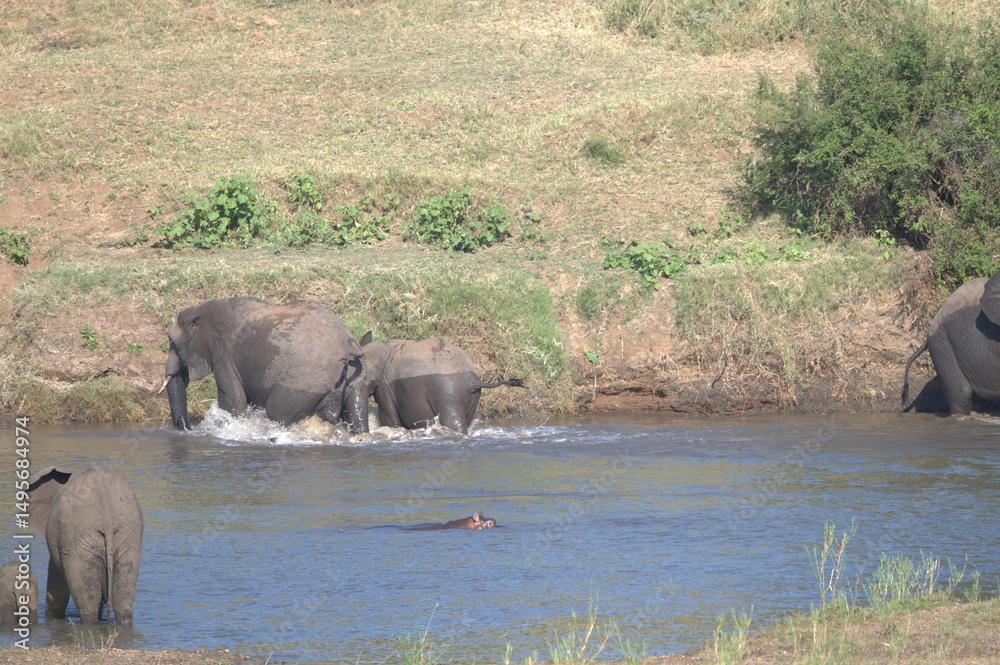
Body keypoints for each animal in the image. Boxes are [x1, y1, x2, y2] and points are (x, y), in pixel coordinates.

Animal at [164, 297, 368, 433]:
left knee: (277, 412)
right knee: (356, 406)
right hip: (353, 373)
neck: (201, 309)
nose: (185, 427)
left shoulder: (225, 357)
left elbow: (234, 401)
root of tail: (347, 343)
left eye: (172, 341)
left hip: (305, 381)